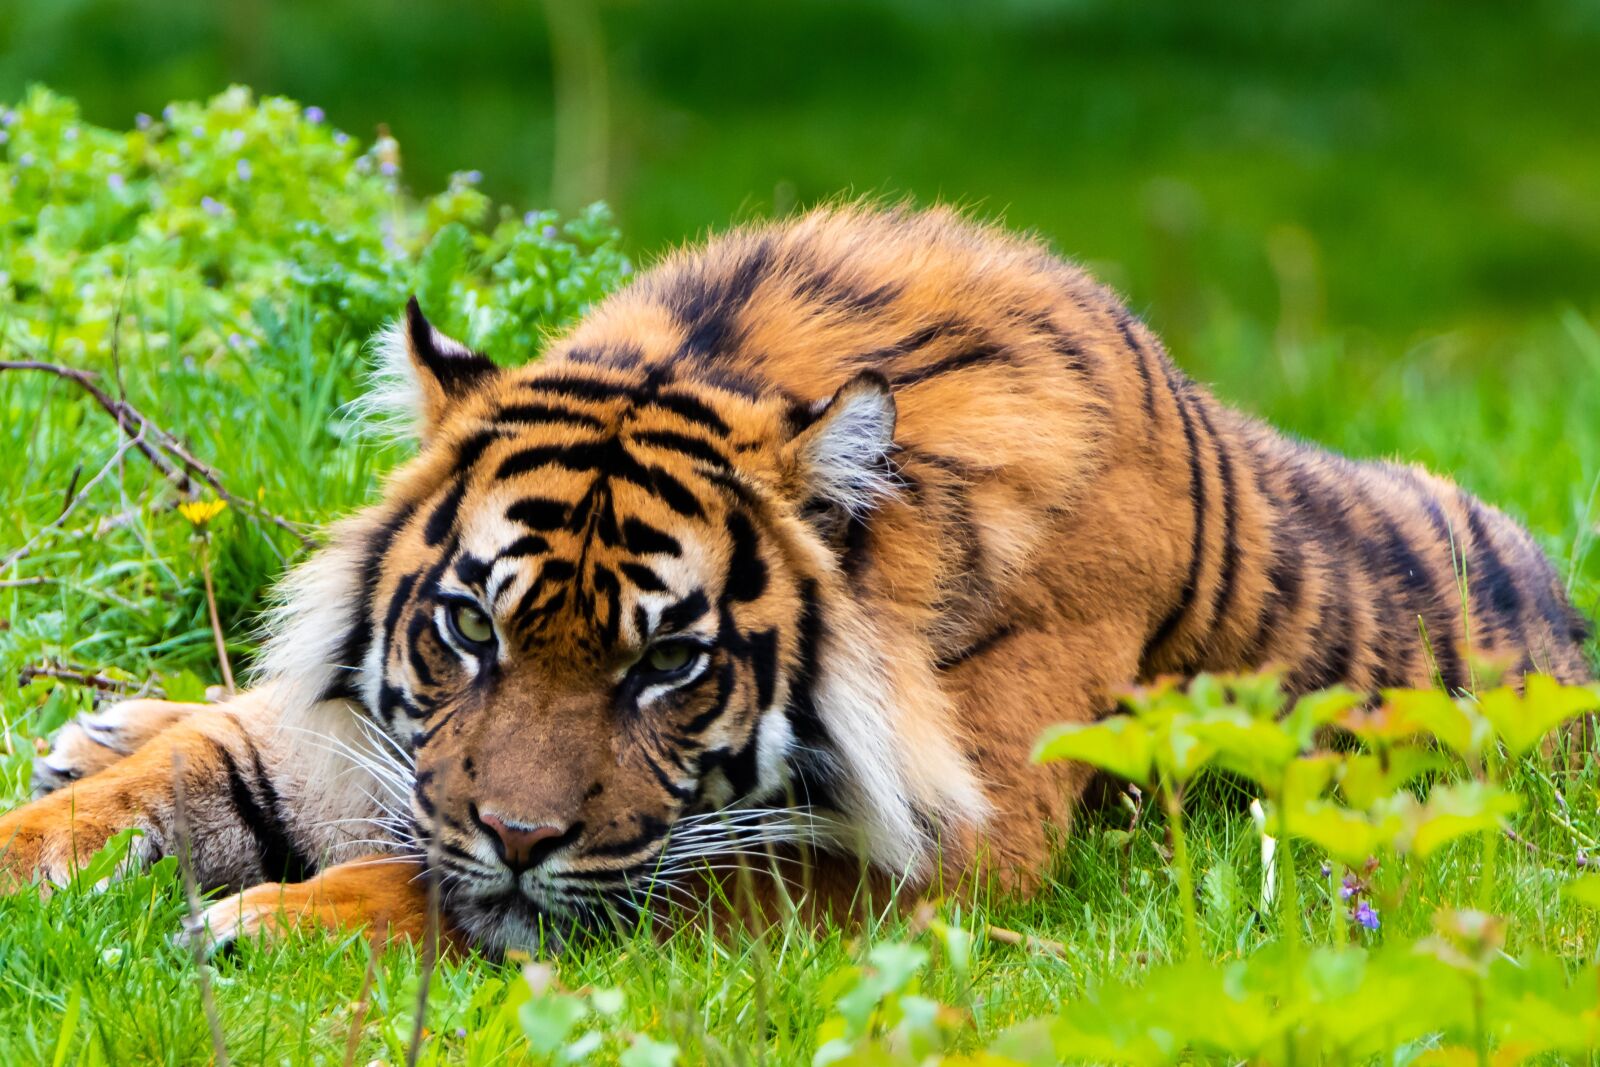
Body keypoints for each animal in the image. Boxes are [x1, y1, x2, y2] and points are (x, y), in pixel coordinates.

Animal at [1, 205, 1591, 954]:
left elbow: (561, 888)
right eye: (469, 628)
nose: (515, 833)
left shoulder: (940, 852)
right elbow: (177, 789)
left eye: (668, 665)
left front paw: (265, 922)